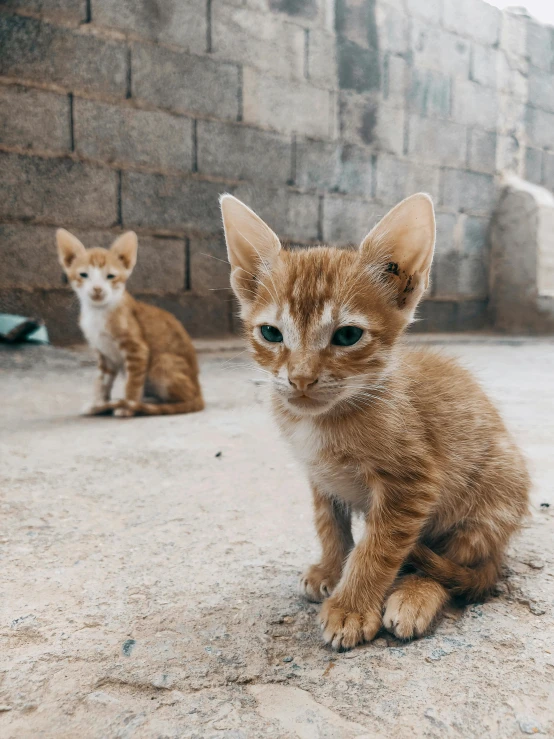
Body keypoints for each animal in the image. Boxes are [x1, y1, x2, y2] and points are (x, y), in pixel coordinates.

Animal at [56, 228, 203, 420]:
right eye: (84, 275)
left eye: (110, 276)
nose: (97, 289)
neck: (98, 313)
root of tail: (199, 392)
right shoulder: (105, 355)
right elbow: (101, 382)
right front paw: (98, 404)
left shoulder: (137, 350)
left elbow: (133, 383)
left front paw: (128, 406)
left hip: (161, 363)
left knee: (182, 398)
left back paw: (146, 404)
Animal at [222, 194, 528, 652]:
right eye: (271, 334)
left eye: (348, 336)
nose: (300, 378)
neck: (326, 419)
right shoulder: (320, 476)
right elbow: (329, 524)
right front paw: (331, 569)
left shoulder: (413, 484)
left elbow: (378, 548)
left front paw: (351, 607)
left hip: (489, 505)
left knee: (453, 569)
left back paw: (414, 596)